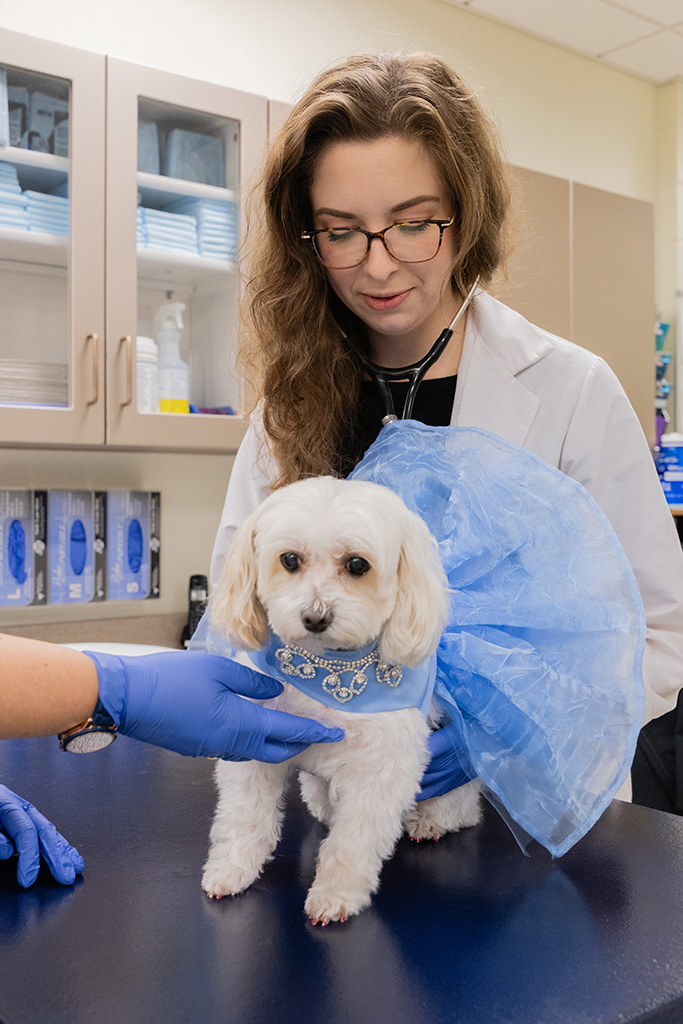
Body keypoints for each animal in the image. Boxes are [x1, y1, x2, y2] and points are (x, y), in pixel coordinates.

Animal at [200, 475, 483, 925]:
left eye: (357, 565)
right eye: (290, 560)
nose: (315, 617)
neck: (326, 666)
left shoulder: (382, 768)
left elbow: (354, 840)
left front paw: (336, 893)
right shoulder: (255, 742)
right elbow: (246, 816)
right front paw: (232, 868)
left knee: (464, 805)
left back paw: (431, 819)